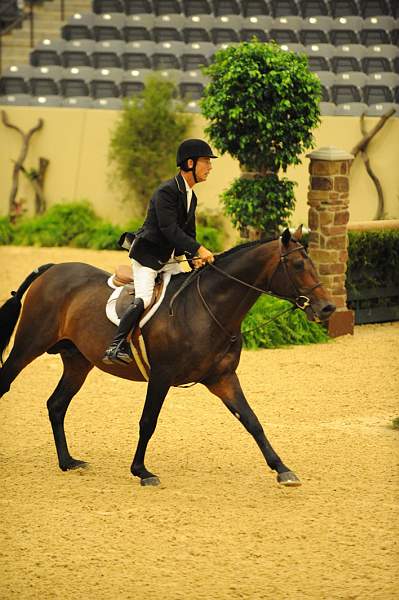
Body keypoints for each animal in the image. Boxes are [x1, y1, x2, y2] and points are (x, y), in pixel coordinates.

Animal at [0, 225, 336, 488]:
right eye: (297, 265)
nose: (327, 308)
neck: (206, 309)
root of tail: (53, 268)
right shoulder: (161, 377)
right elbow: (148, 421)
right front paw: (141, 471)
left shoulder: (223, 378)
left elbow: (252, 421)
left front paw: (283, 470)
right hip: (28, 347)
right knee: (8, 384)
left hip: (78, 362)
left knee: (56, 405)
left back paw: (68, 461)